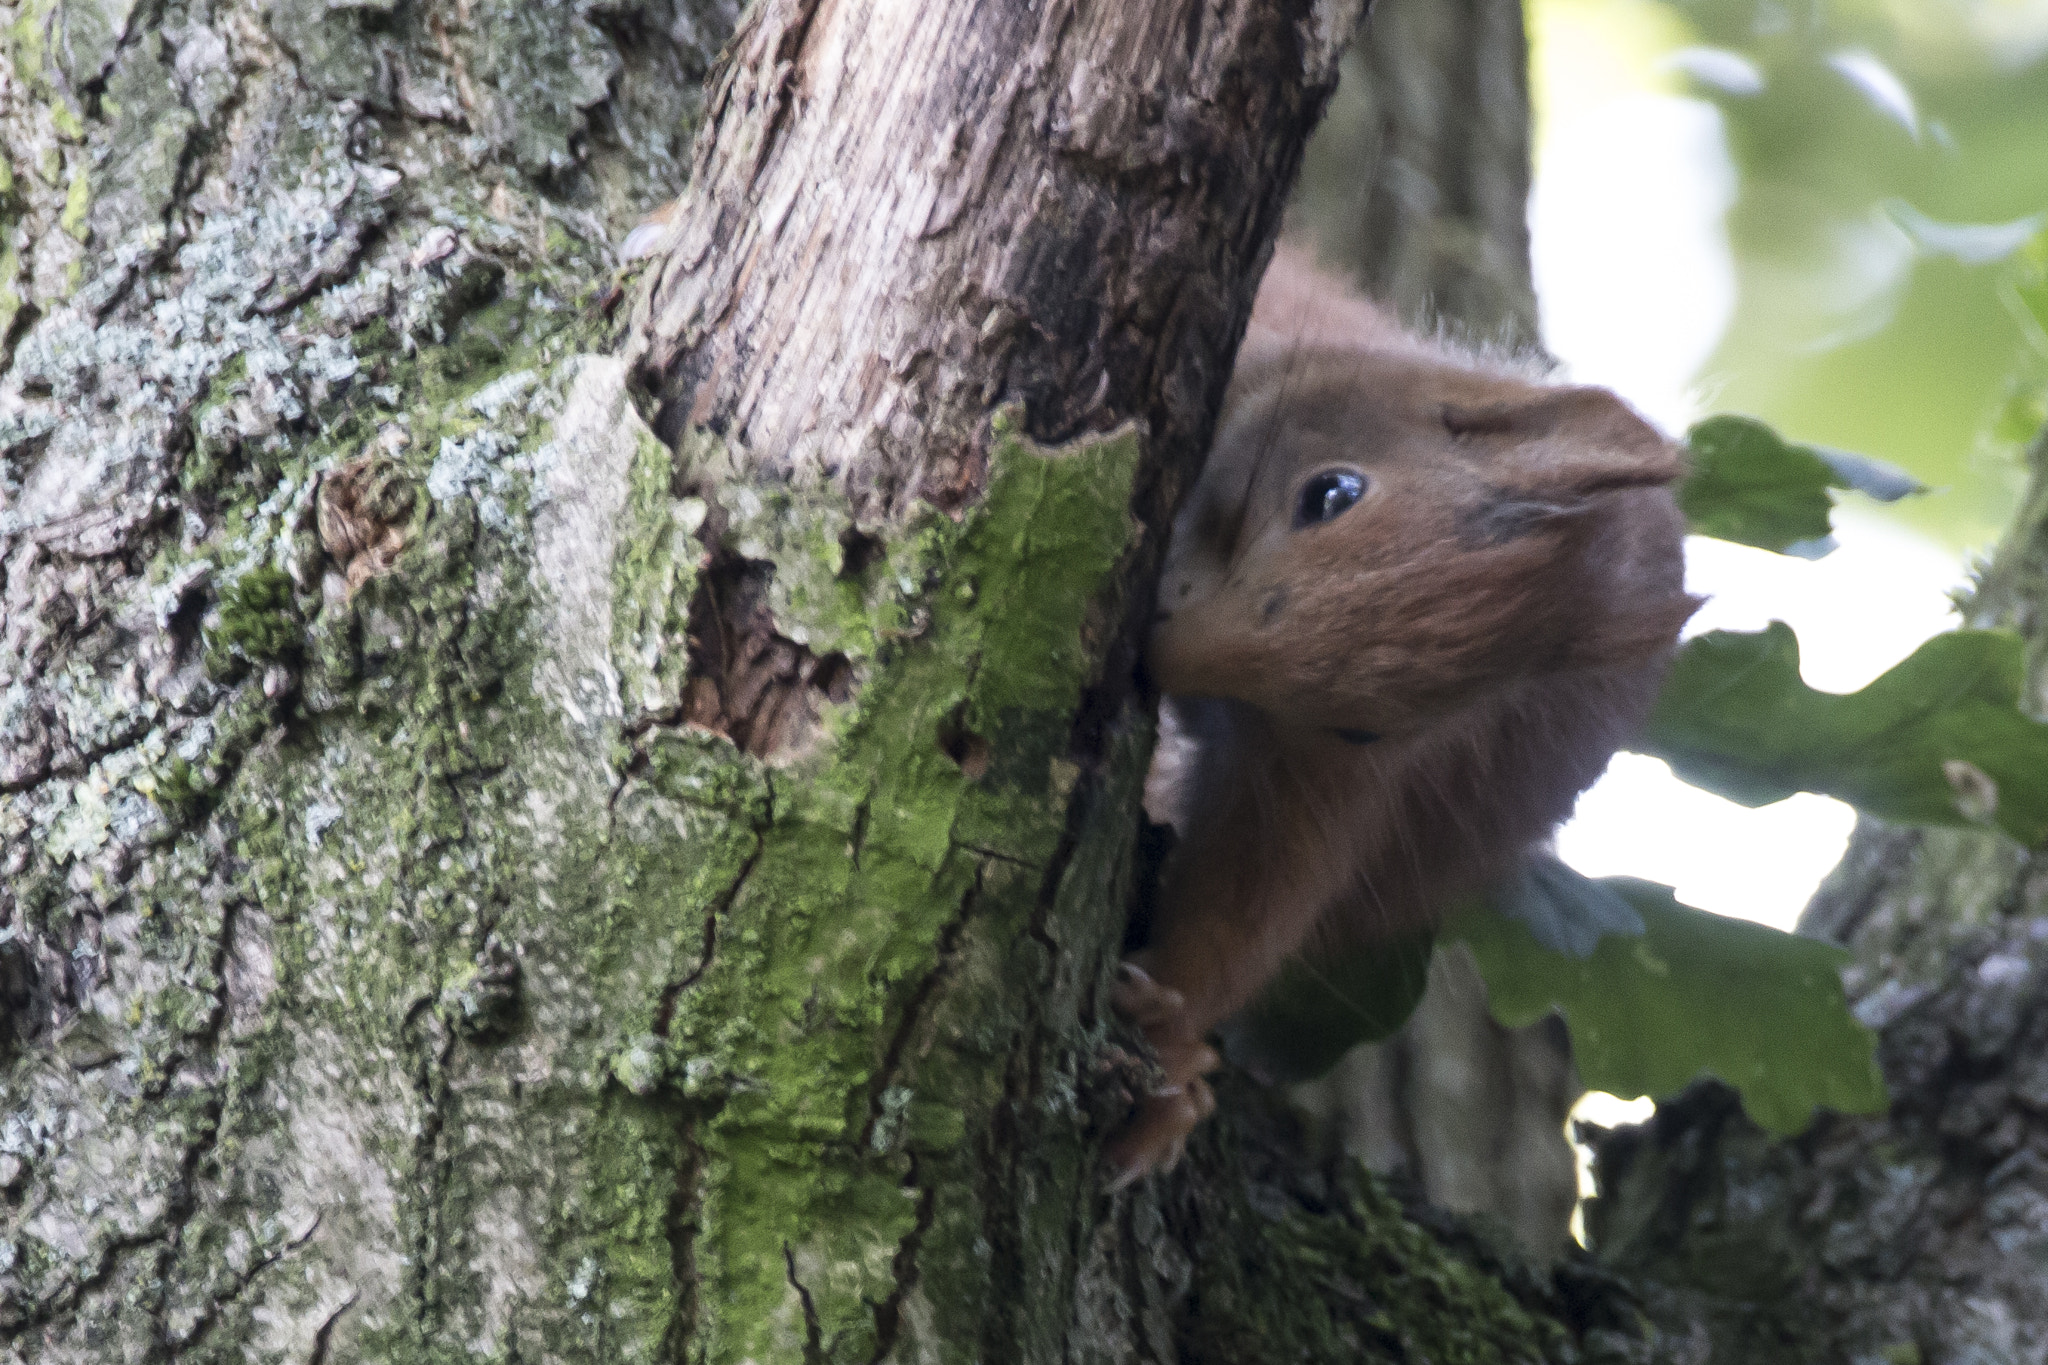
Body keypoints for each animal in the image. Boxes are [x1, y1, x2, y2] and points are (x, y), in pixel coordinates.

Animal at [1106, 247, 1698, 1185]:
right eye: (1332, 493)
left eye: (1365, 726)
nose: (1164, 657)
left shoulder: (1343, 777)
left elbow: (1256, 890)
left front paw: (1168, 1041)